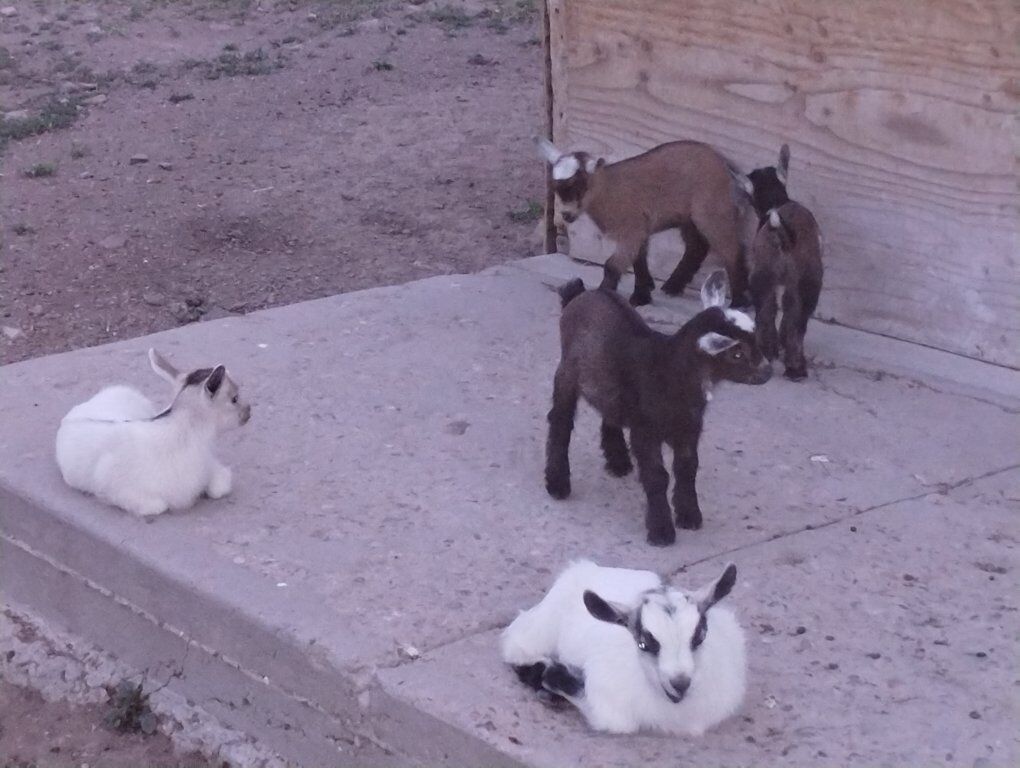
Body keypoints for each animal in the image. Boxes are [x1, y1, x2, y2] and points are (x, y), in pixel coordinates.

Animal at [55, 349, 251, 517]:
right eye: (234, 399)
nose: (249, 412)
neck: (183, 435)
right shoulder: (114, 488)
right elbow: (158, 506)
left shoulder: (210, 466)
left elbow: (219, 487)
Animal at [501, 560, 746, 736]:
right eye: (643, 643)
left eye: (699, 637)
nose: (680, 684)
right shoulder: (607, 705)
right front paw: (550, 675)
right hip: (540, 626)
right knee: (514, 646)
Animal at [536, 137, 751, 307]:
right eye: (556, 188)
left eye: (580, 186)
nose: (566, 215)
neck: (608, 191)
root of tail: (727, 168)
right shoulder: (639, 228)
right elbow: (639, 260)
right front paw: (644, 292)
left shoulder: (631, 229)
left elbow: (612, 265)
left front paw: (608, 293)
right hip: (689, 217)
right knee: (696, 246)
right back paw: (673, 285)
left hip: (713, 210)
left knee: (732, 250)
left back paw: (739, 300)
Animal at [544, 270, 771, 546]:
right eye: (737, 354)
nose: (767, 372)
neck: (670, 370)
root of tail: (580, 295)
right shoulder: (646, 430)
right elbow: (657, 475)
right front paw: (661, 530)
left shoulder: (689, 428)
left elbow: (687, 468)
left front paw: (689, 515)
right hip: (567, 372)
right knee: (560, 421)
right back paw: (557, 483)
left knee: (610, 411)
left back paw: (618, 461)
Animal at [739, 144, 824, 380]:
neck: (776, 201)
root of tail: (785, 237)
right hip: (808, 285)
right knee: (796, 325)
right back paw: (796, 368)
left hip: (763, 277)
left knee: (767, 313)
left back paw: (768, 350)